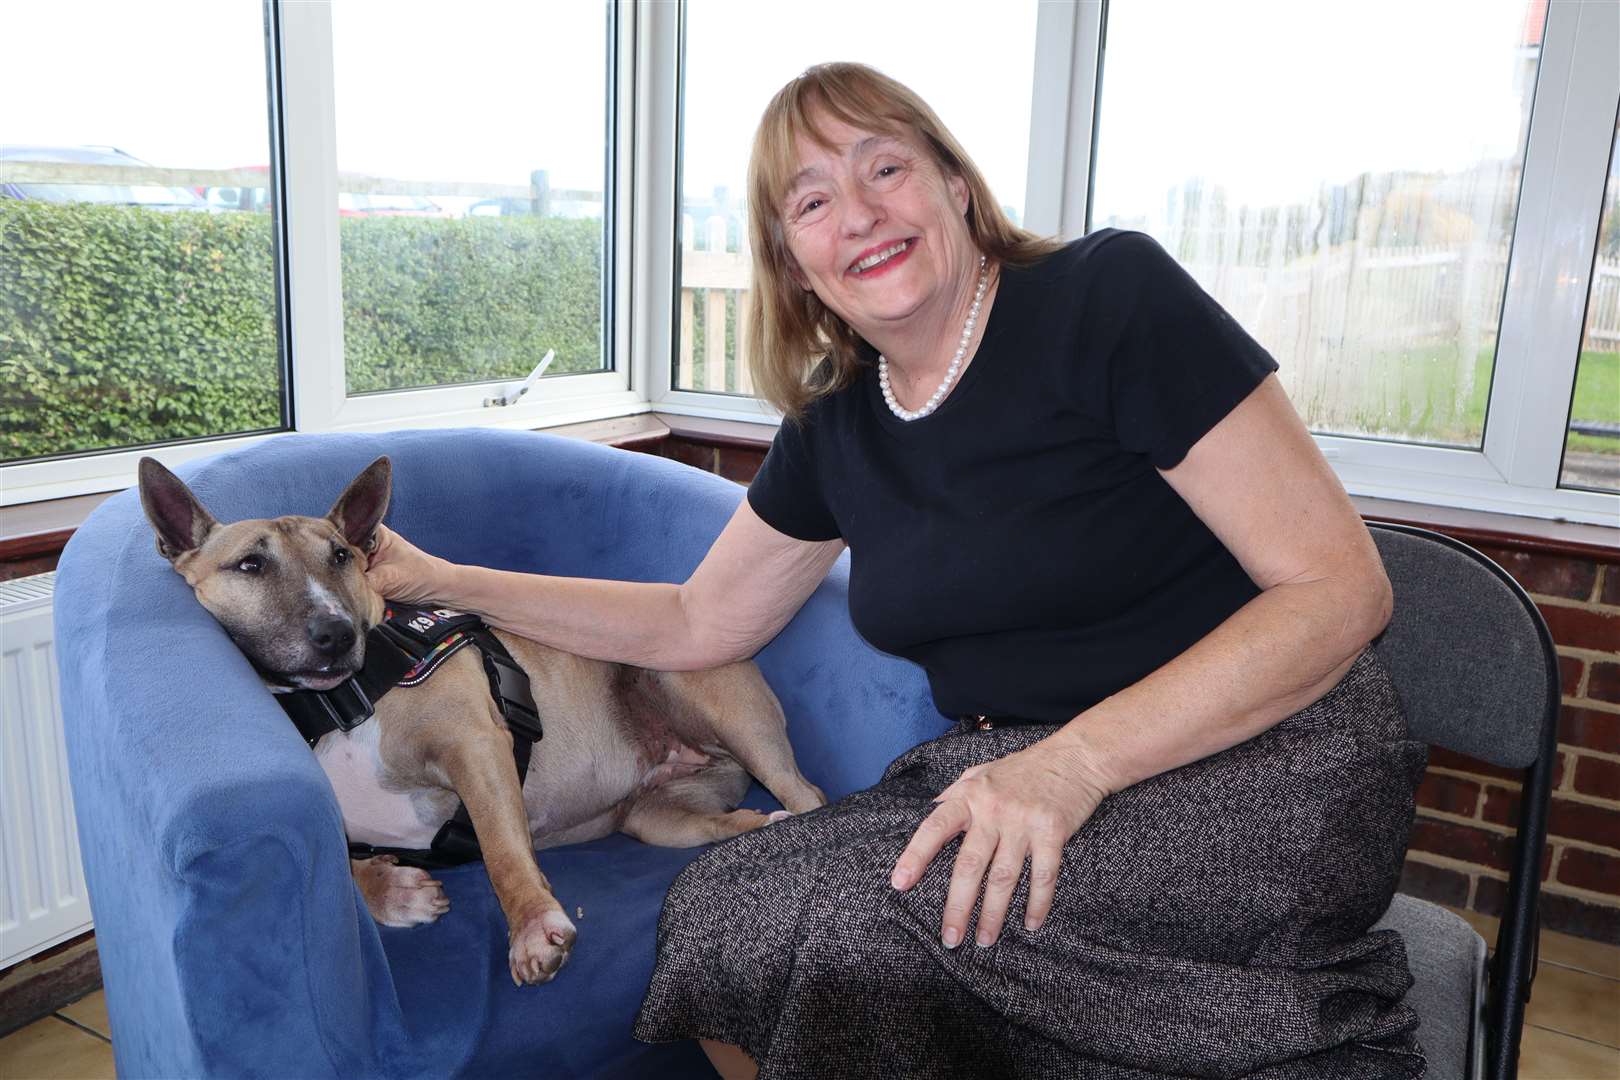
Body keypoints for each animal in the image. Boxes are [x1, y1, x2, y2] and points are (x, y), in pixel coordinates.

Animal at [134, 456, 829, 990]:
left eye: (341, 556)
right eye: (250, 565)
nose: (334, 633)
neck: (342, 705)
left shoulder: (476, 747)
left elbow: (501, 852)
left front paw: (532, 929)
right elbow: (344, 867)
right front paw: (395, 893)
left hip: (698, 694)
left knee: (809, 793)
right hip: (659, 818)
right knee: (738, 821)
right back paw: (762, 828)